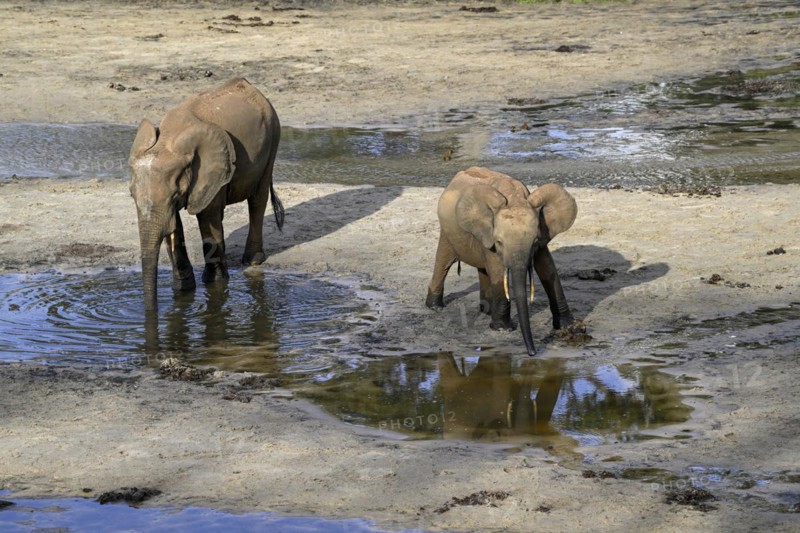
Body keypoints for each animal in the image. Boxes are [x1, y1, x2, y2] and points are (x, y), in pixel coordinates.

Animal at [128, 78, 283, 312]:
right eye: (131, 195)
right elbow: (174, 225)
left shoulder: (214, 170)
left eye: (174, 195)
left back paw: (253, 261)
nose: (152, 311)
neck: (168, 141)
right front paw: (183, 289)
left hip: (273, 136)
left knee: (258, 198)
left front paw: (215, 284)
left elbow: (207, 217)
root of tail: (251, 86)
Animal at [425, 167, 579, 356]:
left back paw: (486, 310)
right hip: (447, 230)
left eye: (535, 241)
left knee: (482, 269)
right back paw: (435, 307)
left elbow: (548, 269)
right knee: (444, 261)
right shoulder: (489, 233)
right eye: (499, 242)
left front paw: (569, 326)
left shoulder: (543, 235)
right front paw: (502, 328)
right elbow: (498, 271)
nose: (533, 353)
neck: (515, 198)